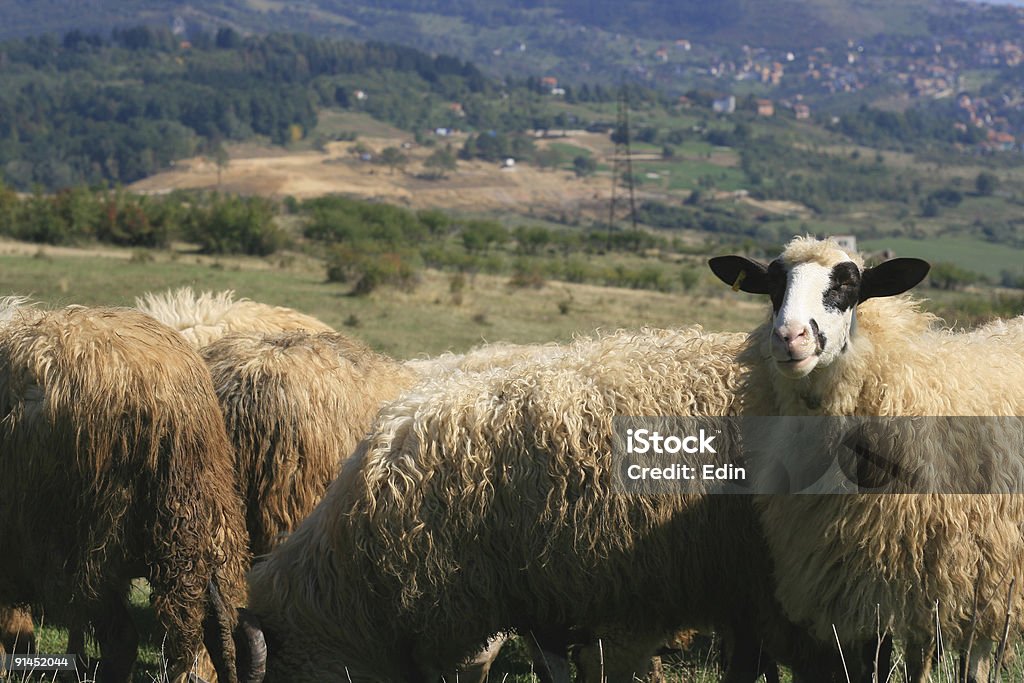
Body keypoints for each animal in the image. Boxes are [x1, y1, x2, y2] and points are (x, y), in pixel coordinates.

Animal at [708, 236, 1024, 683]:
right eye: (772, 285)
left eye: (848, 285)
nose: (789, 336)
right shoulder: (851, 575)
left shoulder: (906, 572)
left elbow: (892, 660)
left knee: (976, 651)